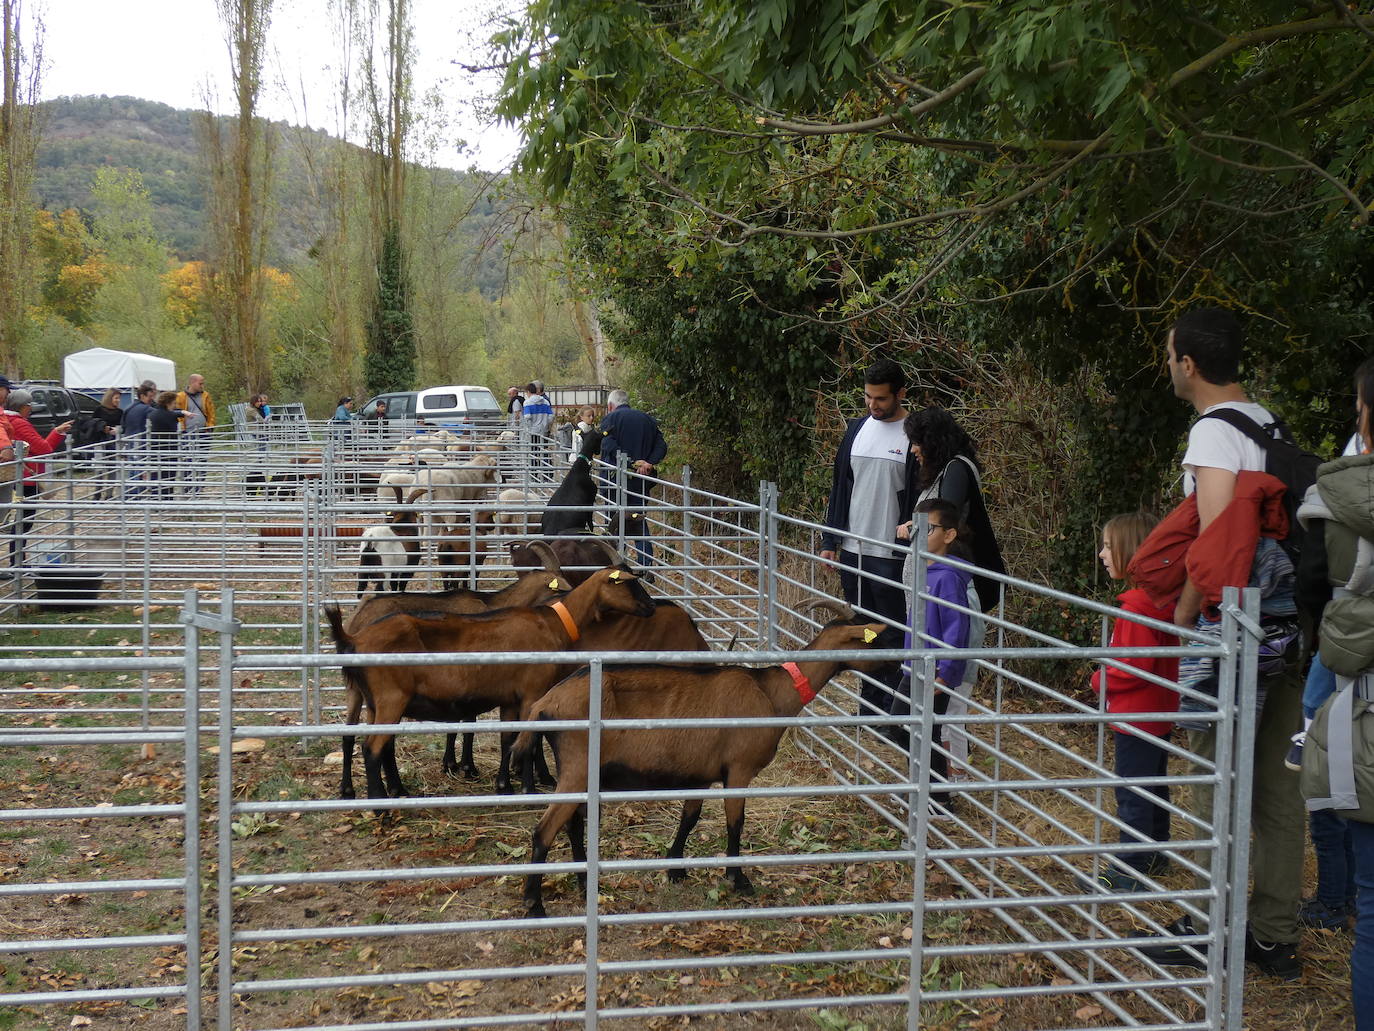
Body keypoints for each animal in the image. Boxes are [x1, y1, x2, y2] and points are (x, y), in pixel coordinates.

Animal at [327, 569, 659, 802]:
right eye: (629, 584)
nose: (652, 607)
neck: (554, 622)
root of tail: (353, 638)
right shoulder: (532, 693)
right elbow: (529, 740)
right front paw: (529, 789)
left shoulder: (511, 697)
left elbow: (508, 739)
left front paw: (504, 785)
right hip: (391, 698)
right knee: (372, 748)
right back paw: (380, 804)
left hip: (373, 700)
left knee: (371, 743)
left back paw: (393, 792)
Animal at [516, 618, 890, 918]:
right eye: (875, 641)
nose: (895, 670)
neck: (771, 693)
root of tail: (546, 703)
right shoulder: (738, 769)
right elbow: (735, 822)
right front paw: (737, 878)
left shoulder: (701, 773)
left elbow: (690, 817)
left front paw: (675, 867)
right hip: (577, 765)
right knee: (544, 830)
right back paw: (534, 905)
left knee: (573, 824)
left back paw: (583, 884)